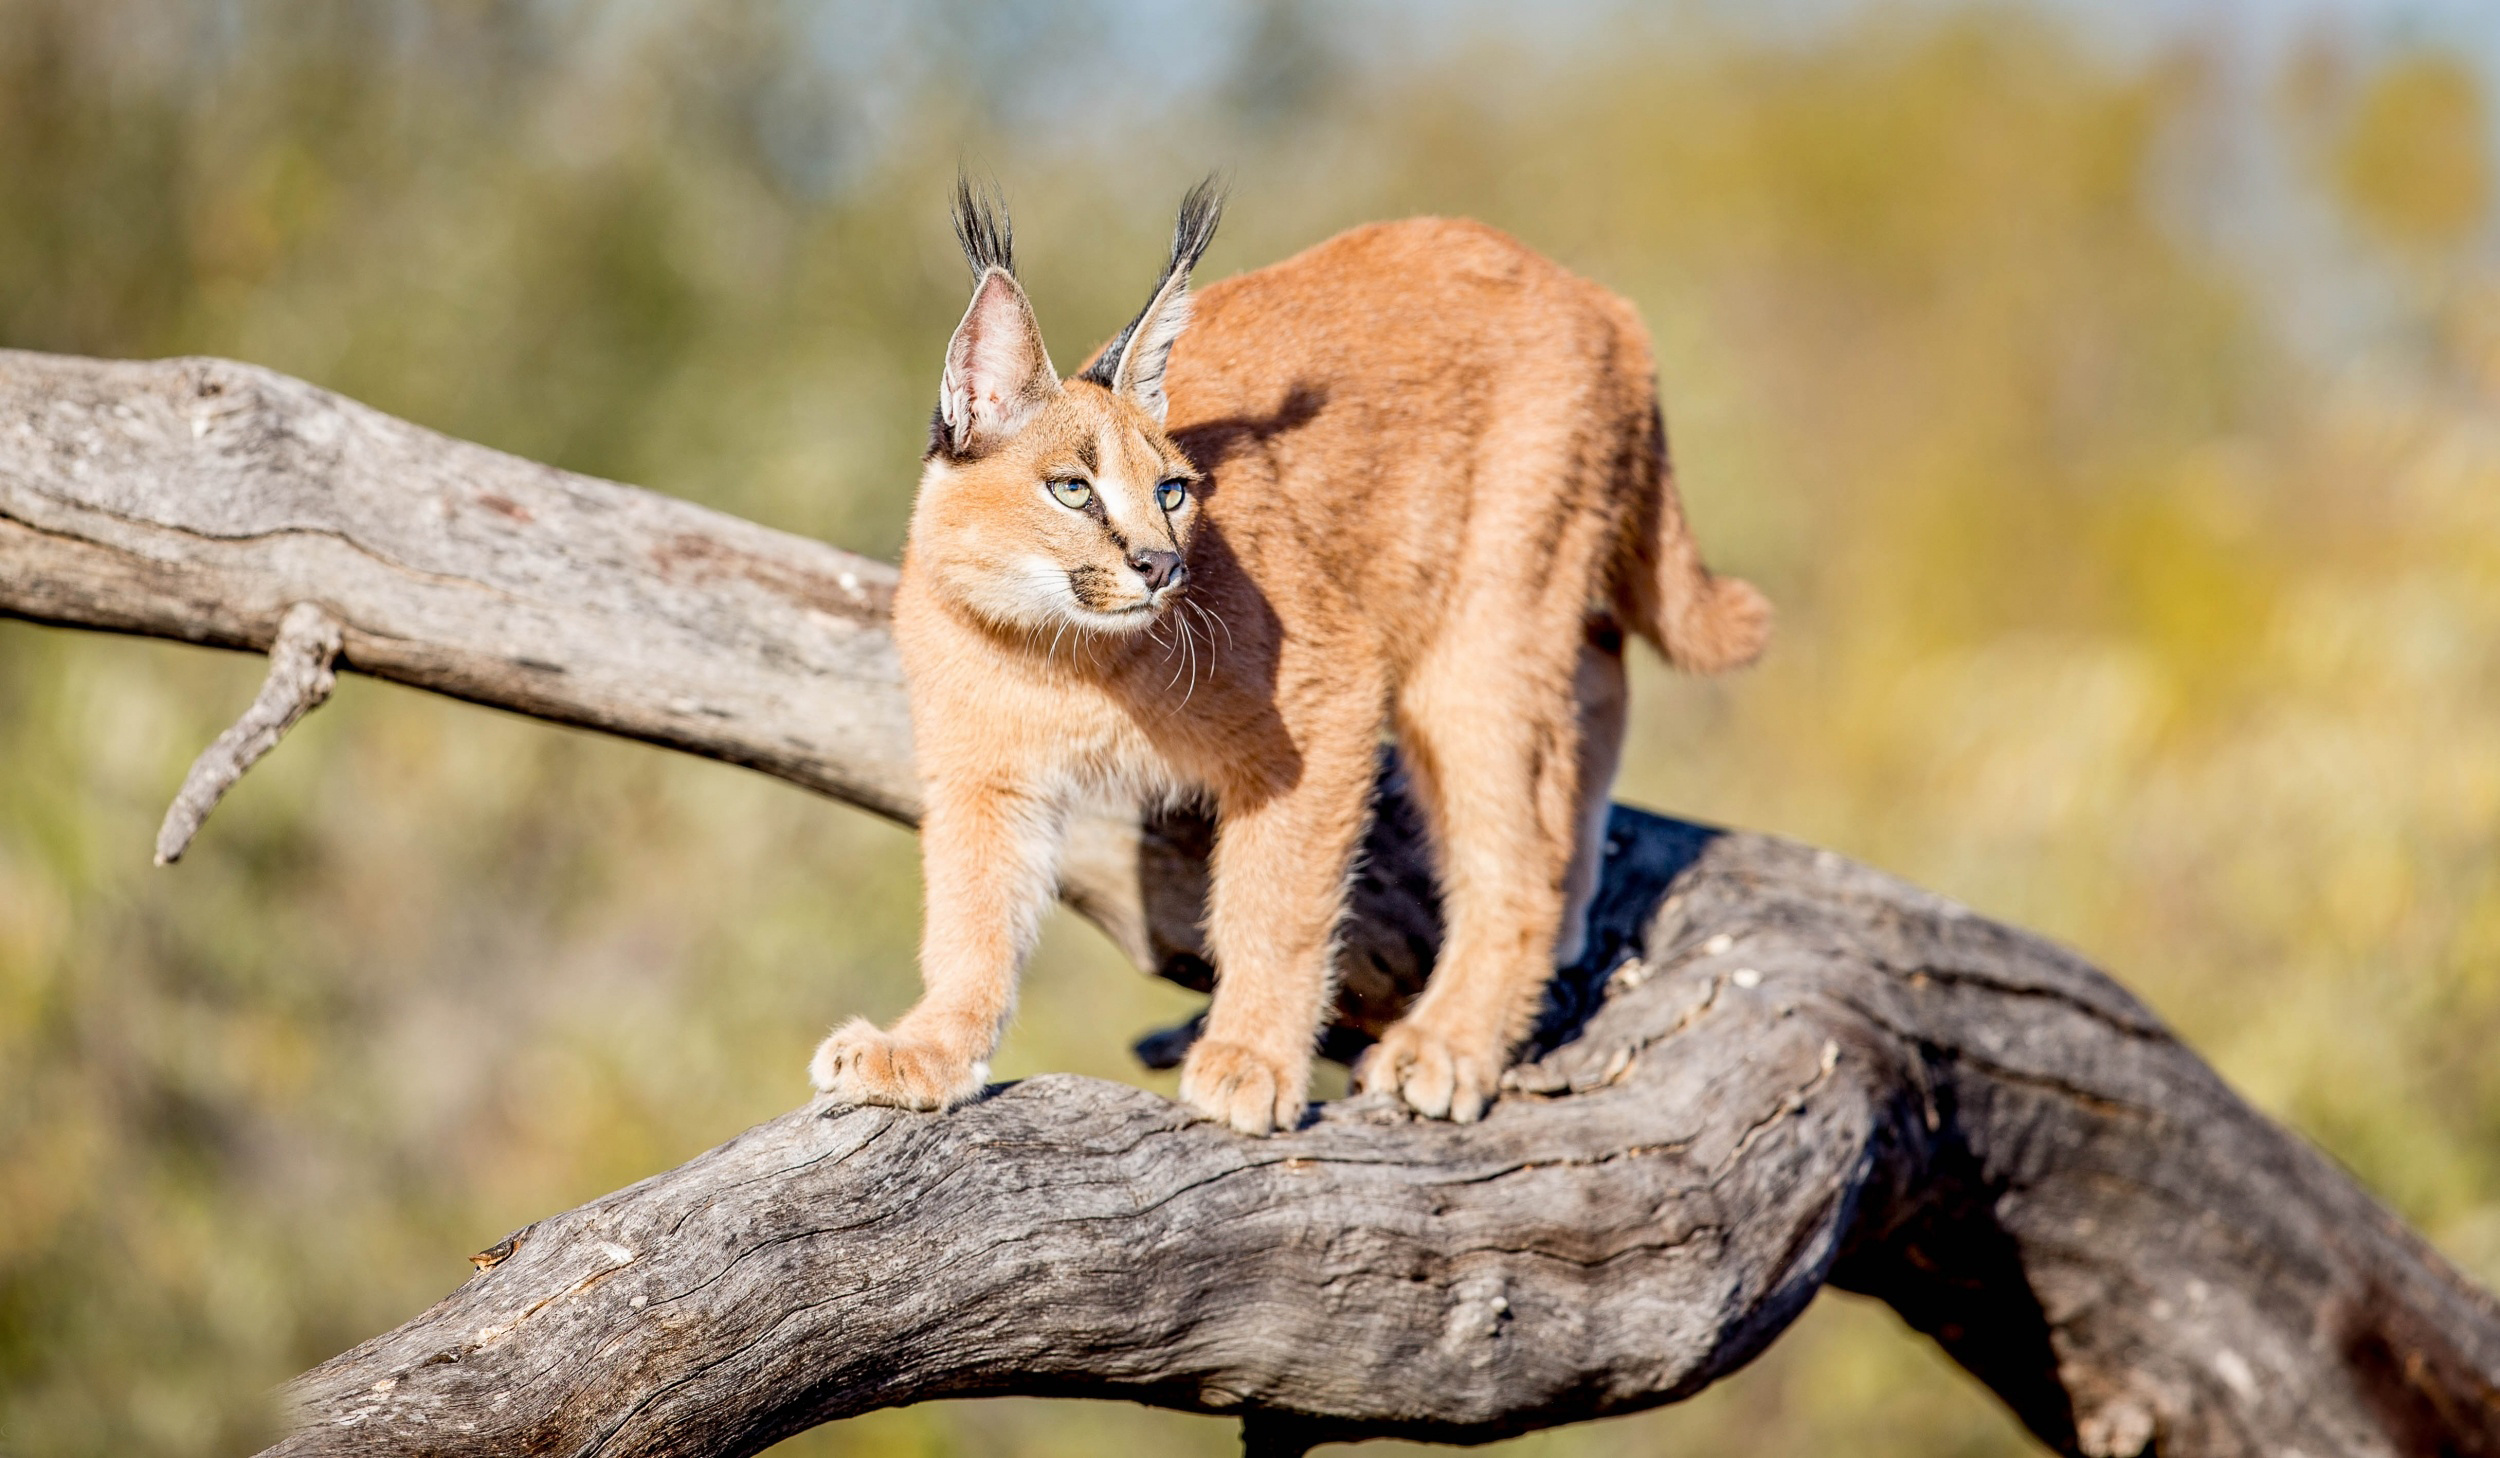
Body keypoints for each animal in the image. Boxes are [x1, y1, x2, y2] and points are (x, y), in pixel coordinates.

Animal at [810, 182, 1770, 1135]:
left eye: (1172, 491)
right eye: (1073, 489)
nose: (1161, 566)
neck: (1055, 654)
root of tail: (1592, 294)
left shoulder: (1324, 701)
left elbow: (1277, 902)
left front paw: (1253, 1059)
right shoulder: (982, 773)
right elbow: (970, 916)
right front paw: (928, 1048)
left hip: (1480, 629)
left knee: (1517, 845)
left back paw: (1450, 1042)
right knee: (1595, 687)